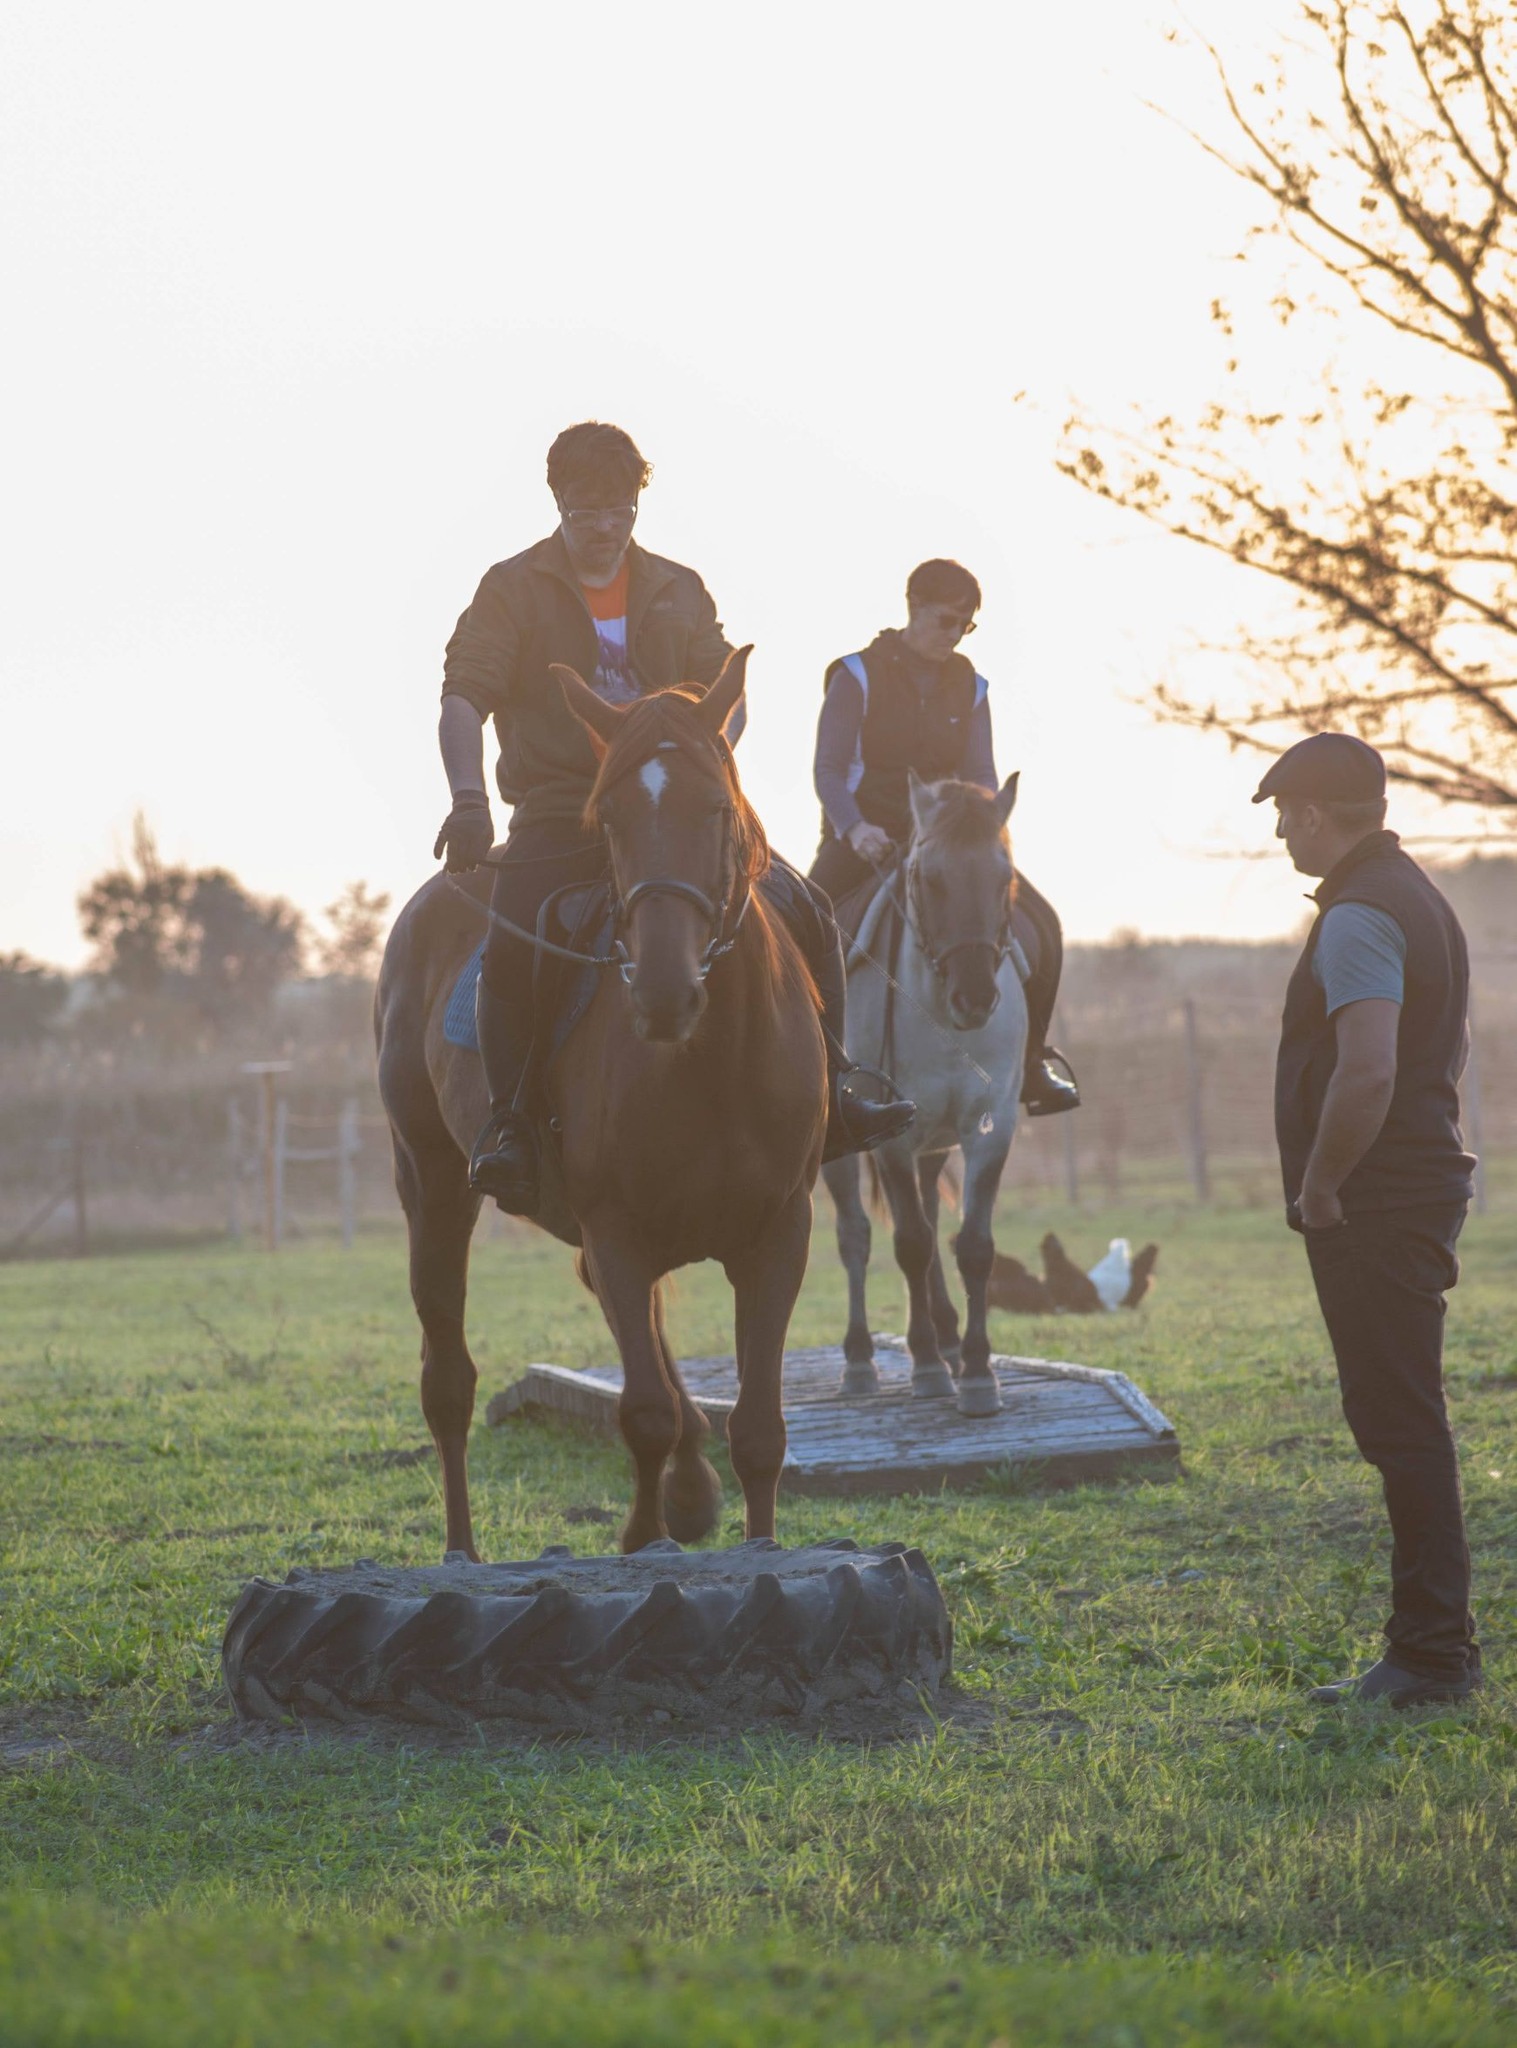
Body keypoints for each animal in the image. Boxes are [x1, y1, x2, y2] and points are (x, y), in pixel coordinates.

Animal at [378, 651, 827, 1548]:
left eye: (715, 809)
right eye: (610, 817)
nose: (661, 991)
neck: (711, 1063)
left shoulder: (778, 1233)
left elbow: (758, 1432)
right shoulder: (617, 1228)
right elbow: (646, 1412)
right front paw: (644, 1536)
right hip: (431, 1181)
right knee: (447, 1382)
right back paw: (461, 1548)